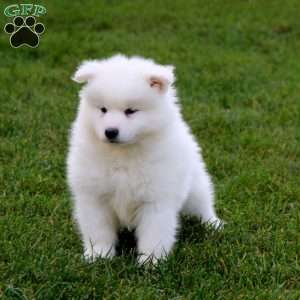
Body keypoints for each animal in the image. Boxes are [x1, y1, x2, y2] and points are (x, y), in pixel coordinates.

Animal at [68, 54, 223, 264]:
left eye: (131, 111)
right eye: (103, 109)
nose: (110, 131)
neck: (123, 155)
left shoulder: (156, 199)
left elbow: (154, 234)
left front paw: (150, 261)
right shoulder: (94, 197)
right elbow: (98, 230)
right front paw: (98, 255)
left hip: (195, 188)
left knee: (203, 205)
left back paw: (213, 224)